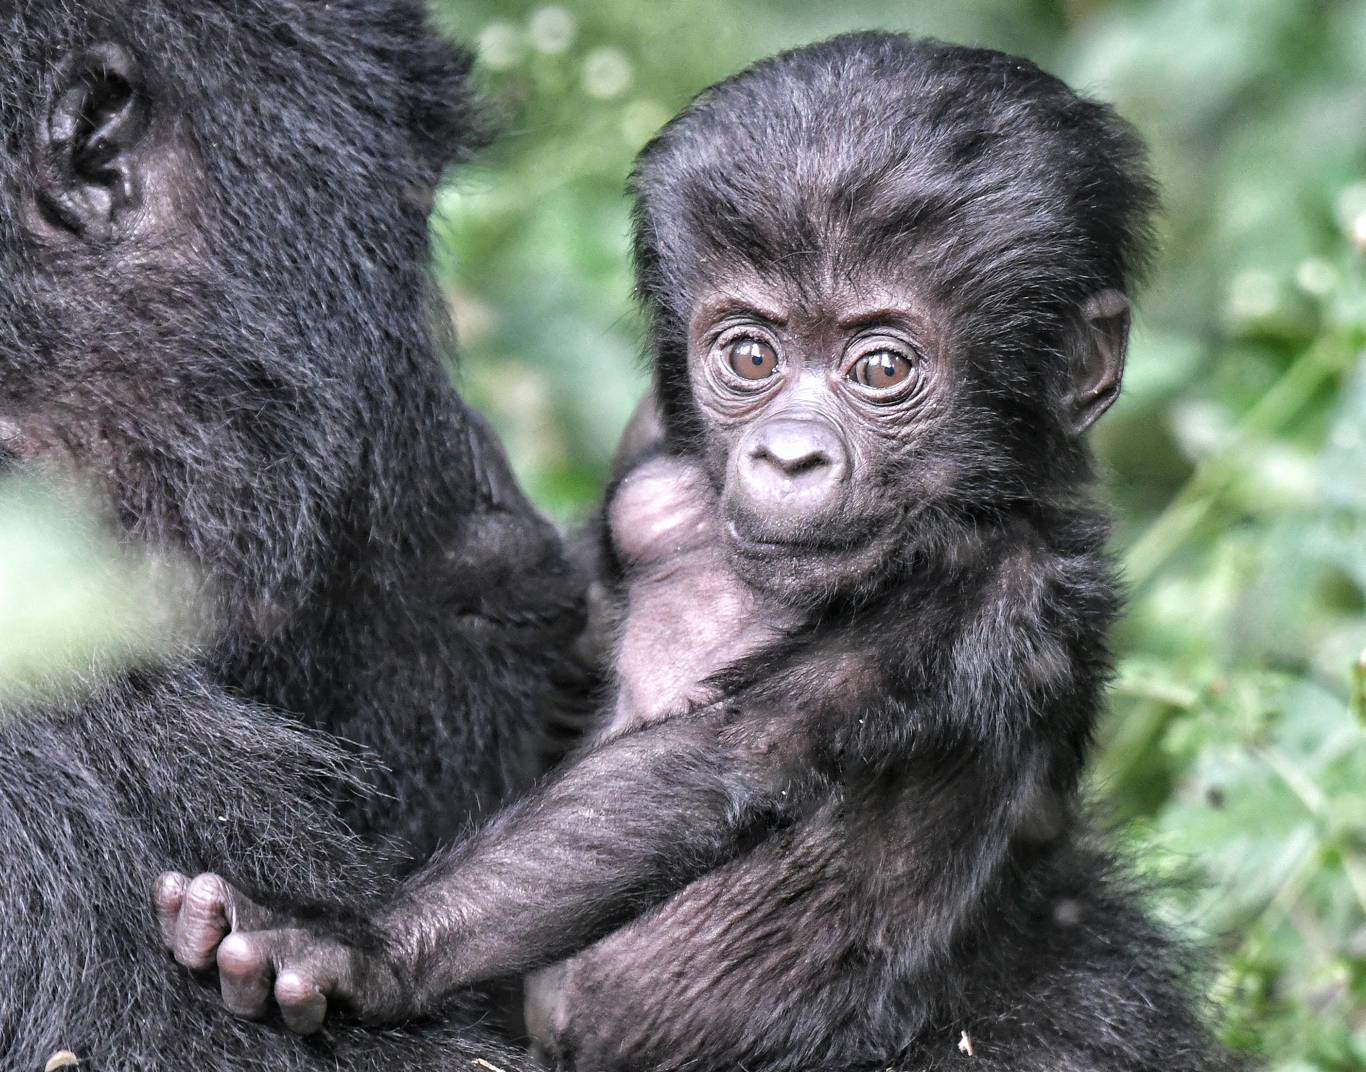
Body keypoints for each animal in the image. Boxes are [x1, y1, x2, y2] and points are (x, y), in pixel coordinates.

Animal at [155, 33, 1237, 1072]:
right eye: (751, 355)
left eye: (882, 368)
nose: (790, 453)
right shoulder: (650, 430)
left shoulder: (989, 587)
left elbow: (723, 756)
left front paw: (365, 951)